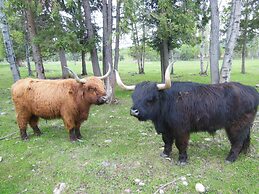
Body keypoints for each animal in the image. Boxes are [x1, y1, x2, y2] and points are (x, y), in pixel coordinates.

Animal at [116, 63, 259, 163]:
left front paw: (182, 159)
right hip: (246, 125)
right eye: (134, 96)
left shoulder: (181, 129)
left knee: (237, 141)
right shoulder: (167, 129)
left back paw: (230, 158)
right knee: (246, 139)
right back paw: (243, 153)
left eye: (151, 98)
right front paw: (165, 153)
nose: (134, 111)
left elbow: (181, 144)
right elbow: (167, 141)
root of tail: (251, 90)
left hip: (236, 126)